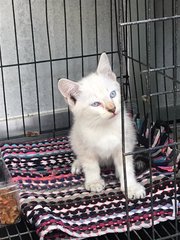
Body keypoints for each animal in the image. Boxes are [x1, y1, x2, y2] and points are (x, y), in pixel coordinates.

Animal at [58, 53, 146, 199]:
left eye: (112, 94)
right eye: (95, 104)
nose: (112, 108)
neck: (104, 126)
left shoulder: (124, 144)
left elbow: (126, 167)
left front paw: (131, 187)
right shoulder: (85, 146)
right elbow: (91, 165)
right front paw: (94, 182)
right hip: (75, 139)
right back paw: (78, 163)